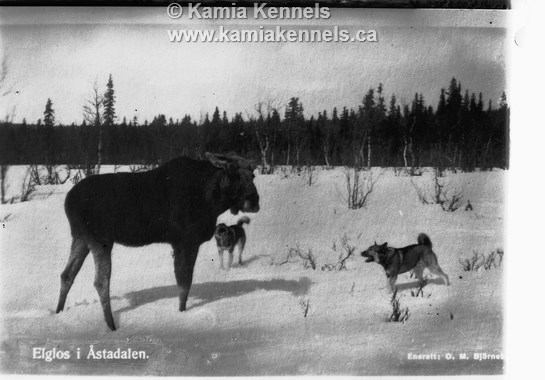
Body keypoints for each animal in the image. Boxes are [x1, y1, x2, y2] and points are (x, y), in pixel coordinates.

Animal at [55, 151, 260, 330]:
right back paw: (112, 327)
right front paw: (181, 314)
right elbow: (184, 284)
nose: (254, 202)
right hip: (100, 238)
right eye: (233, 173)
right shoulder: (186, 241)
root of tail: (67, 202)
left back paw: (58, 313)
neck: (212, 201)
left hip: (81, 237)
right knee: (101, 282)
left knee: (67, 274)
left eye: (253, 174)